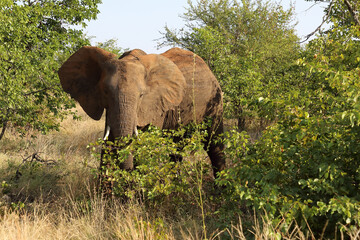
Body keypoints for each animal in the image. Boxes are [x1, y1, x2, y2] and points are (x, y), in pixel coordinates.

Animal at [57, 46, 224, 179]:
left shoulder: (155, 106)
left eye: (141, 95)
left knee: (215, 144)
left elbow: (142, 145)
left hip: (215, 100)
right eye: (105, 92)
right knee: (177, 149)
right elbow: (109, 143)